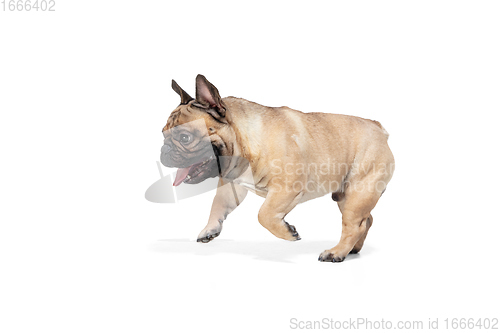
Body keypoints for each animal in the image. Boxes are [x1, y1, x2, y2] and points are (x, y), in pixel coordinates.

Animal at [160, 75, 394, 262]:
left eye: (185, 137)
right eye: (163, 134)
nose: (164, 150)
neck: (244, 142)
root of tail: (378, 128)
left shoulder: (286, 189)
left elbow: (264, 214)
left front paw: (287, 232)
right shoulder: (231, 185)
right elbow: (217, 205)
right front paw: (210, 228)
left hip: (359, 192)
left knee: (353, 225)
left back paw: (336, 252)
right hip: (347, 196)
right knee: (366, 221)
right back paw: (352, 249)